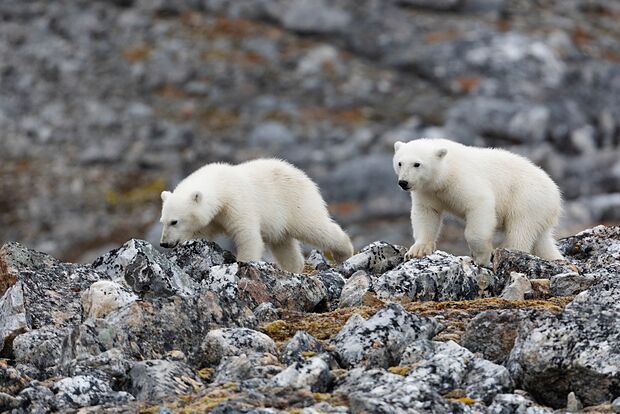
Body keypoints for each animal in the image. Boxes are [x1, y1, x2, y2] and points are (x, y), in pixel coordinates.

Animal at [159, 158, 354, 272]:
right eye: (163, 221)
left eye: (174, 221)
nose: (164, 243)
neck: (221, 186)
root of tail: (304, 176)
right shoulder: (214, 218)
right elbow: (202, 232)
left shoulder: (237, 203)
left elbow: (247, 235)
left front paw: (244, 264)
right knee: (283, 244)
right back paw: (293, 269)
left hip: (296, 203)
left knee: (314, 227)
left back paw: (343, 252)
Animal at [394, 139, 564, 266]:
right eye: (400, 163)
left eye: (417, 164)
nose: (403, 182)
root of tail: (556, 193)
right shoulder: (428, 191)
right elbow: (427, 213)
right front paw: (417, 250)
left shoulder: (461, 179)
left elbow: (479, 205)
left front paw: (481, 257)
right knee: (541, 241)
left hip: (528, 199)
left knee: (520, 229)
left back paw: (507, 252)